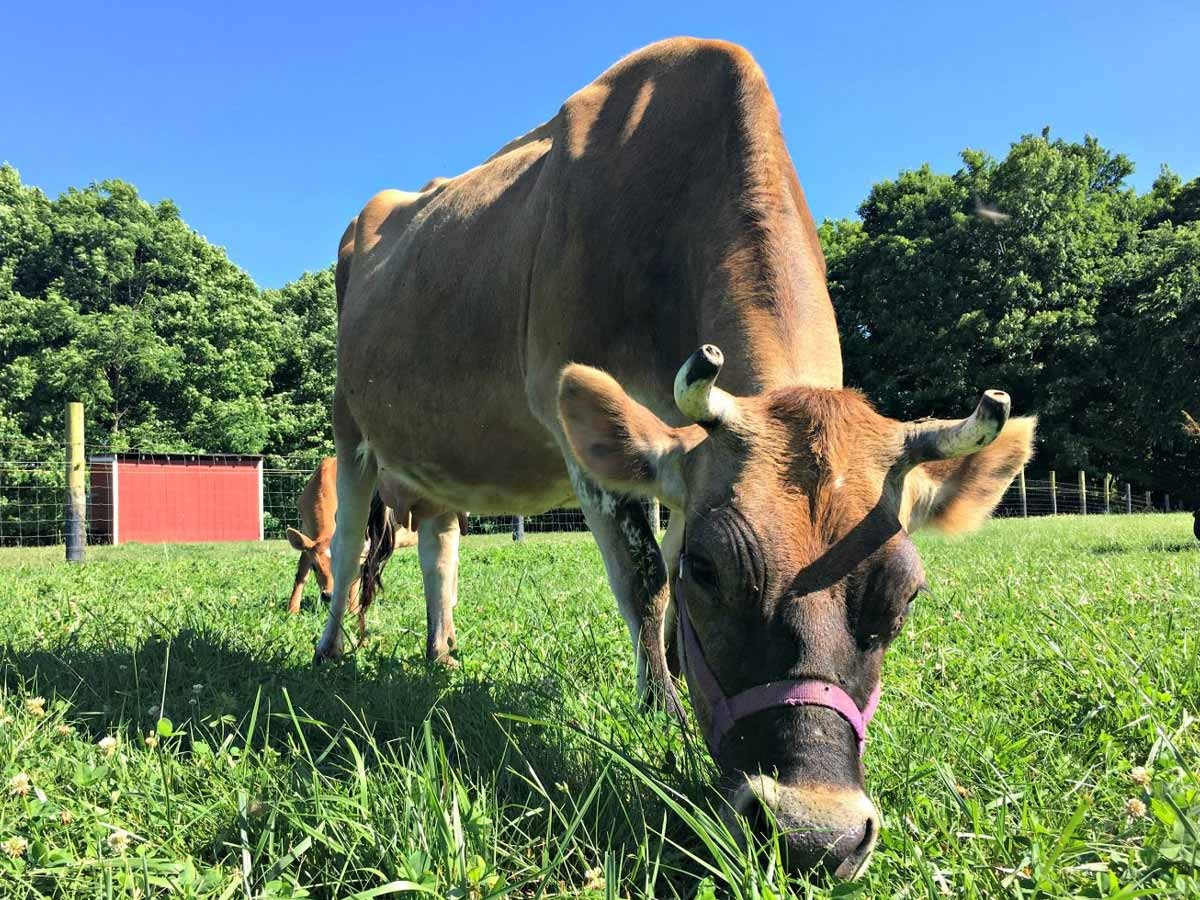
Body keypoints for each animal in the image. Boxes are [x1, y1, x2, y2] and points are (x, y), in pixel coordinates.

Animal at [314, 40, 1036, 883]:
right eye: (709, 571)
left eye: (906, 594)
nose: (812, 835)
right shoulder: (587, 430)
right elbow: (642, 576)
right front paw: (658, 708)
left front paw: (671, 679)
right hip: (349, 423)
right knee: (345, 544)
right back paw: (329, 650)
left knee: (440, 551)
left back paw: (441, 653)